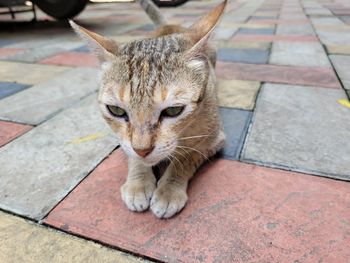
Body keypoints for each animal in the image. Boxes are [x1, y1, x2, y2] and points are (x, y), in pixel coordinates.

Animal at [69, 0, 227, 220]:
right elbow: (132, 155)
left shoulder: (213, 140)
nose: (143, 150)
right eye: (116, 110)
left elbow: (185, 157)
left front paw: (168, 189)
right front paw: (138, 183)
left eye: (174, 111)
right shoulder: (126, 142)